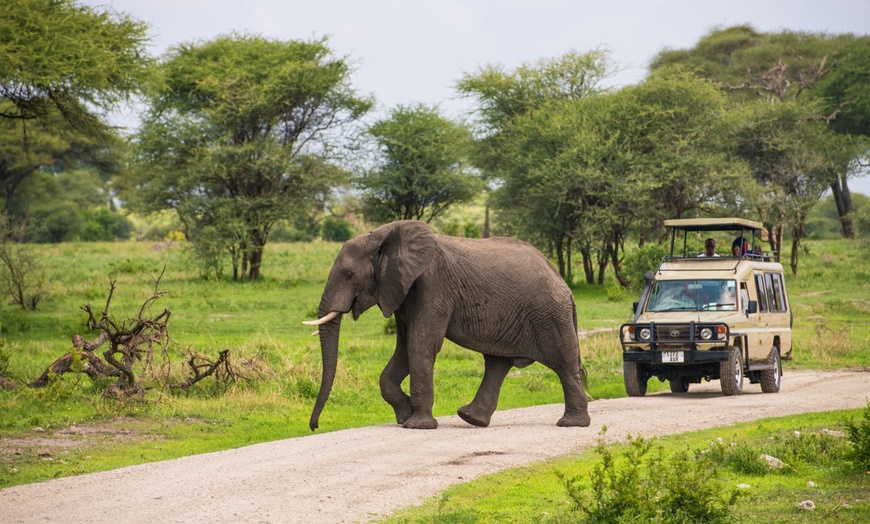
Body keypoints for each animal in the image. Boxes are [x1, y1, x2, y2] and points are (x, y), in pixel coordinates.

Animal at [302, 220, 592, 430]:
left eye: (349, 275)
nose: (314, 427)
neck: (382, 236)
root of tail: (564, 285)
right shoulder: (402, 292)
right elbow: (404, 350)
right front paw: (404, 417)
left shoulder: (433, 286)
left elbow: (420, 345)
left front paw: (416, 426)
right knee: (497, 364)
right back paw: (471, 419)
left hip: (550, 316)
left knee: (563, 366)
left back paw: (571, 424)